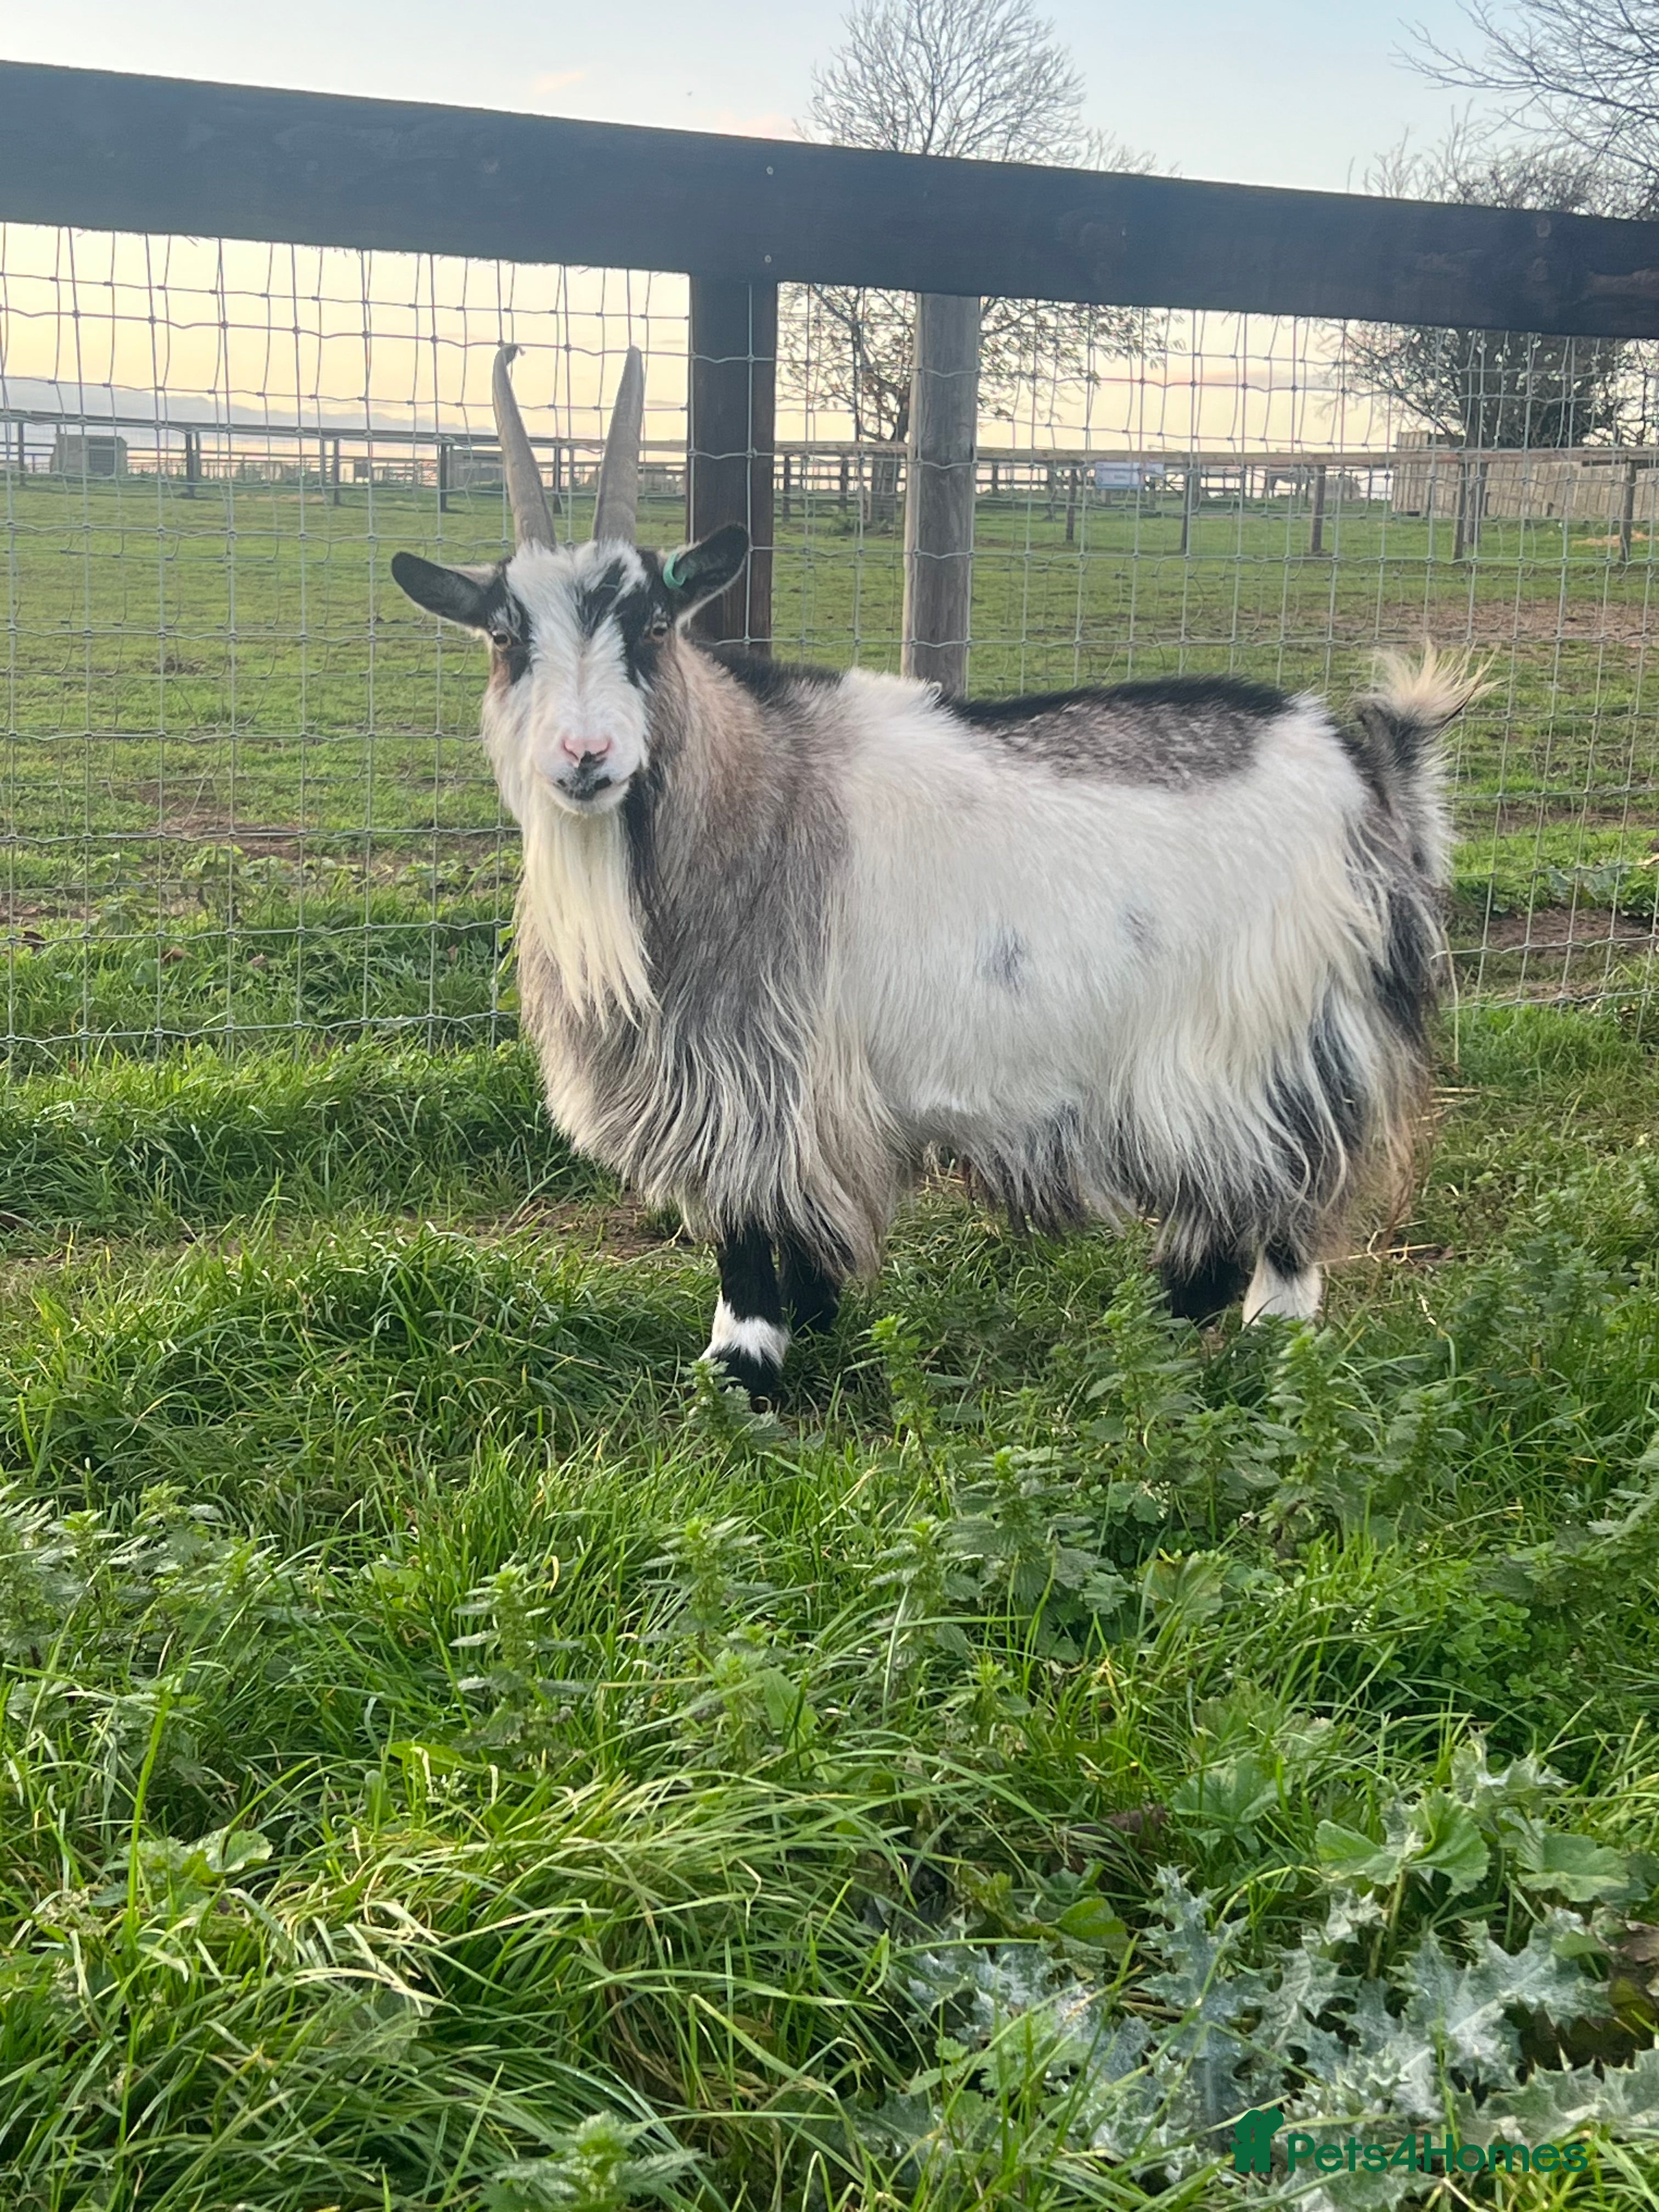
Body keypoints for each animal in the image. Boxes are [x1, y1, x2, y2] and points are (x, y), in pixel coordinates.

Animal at [391, 348, 1478, 1397]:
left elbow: (746, 1219)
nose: (585, 756)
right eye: (505, 635)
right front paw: (814, 1315)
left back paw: (1219, 1340)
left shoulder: (750, 1070)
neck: (747, 786)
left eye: (655, 625)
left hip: (1263, 1038)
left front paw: (742, 1367)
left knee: (1281, 1194)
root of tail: (1370, 774)